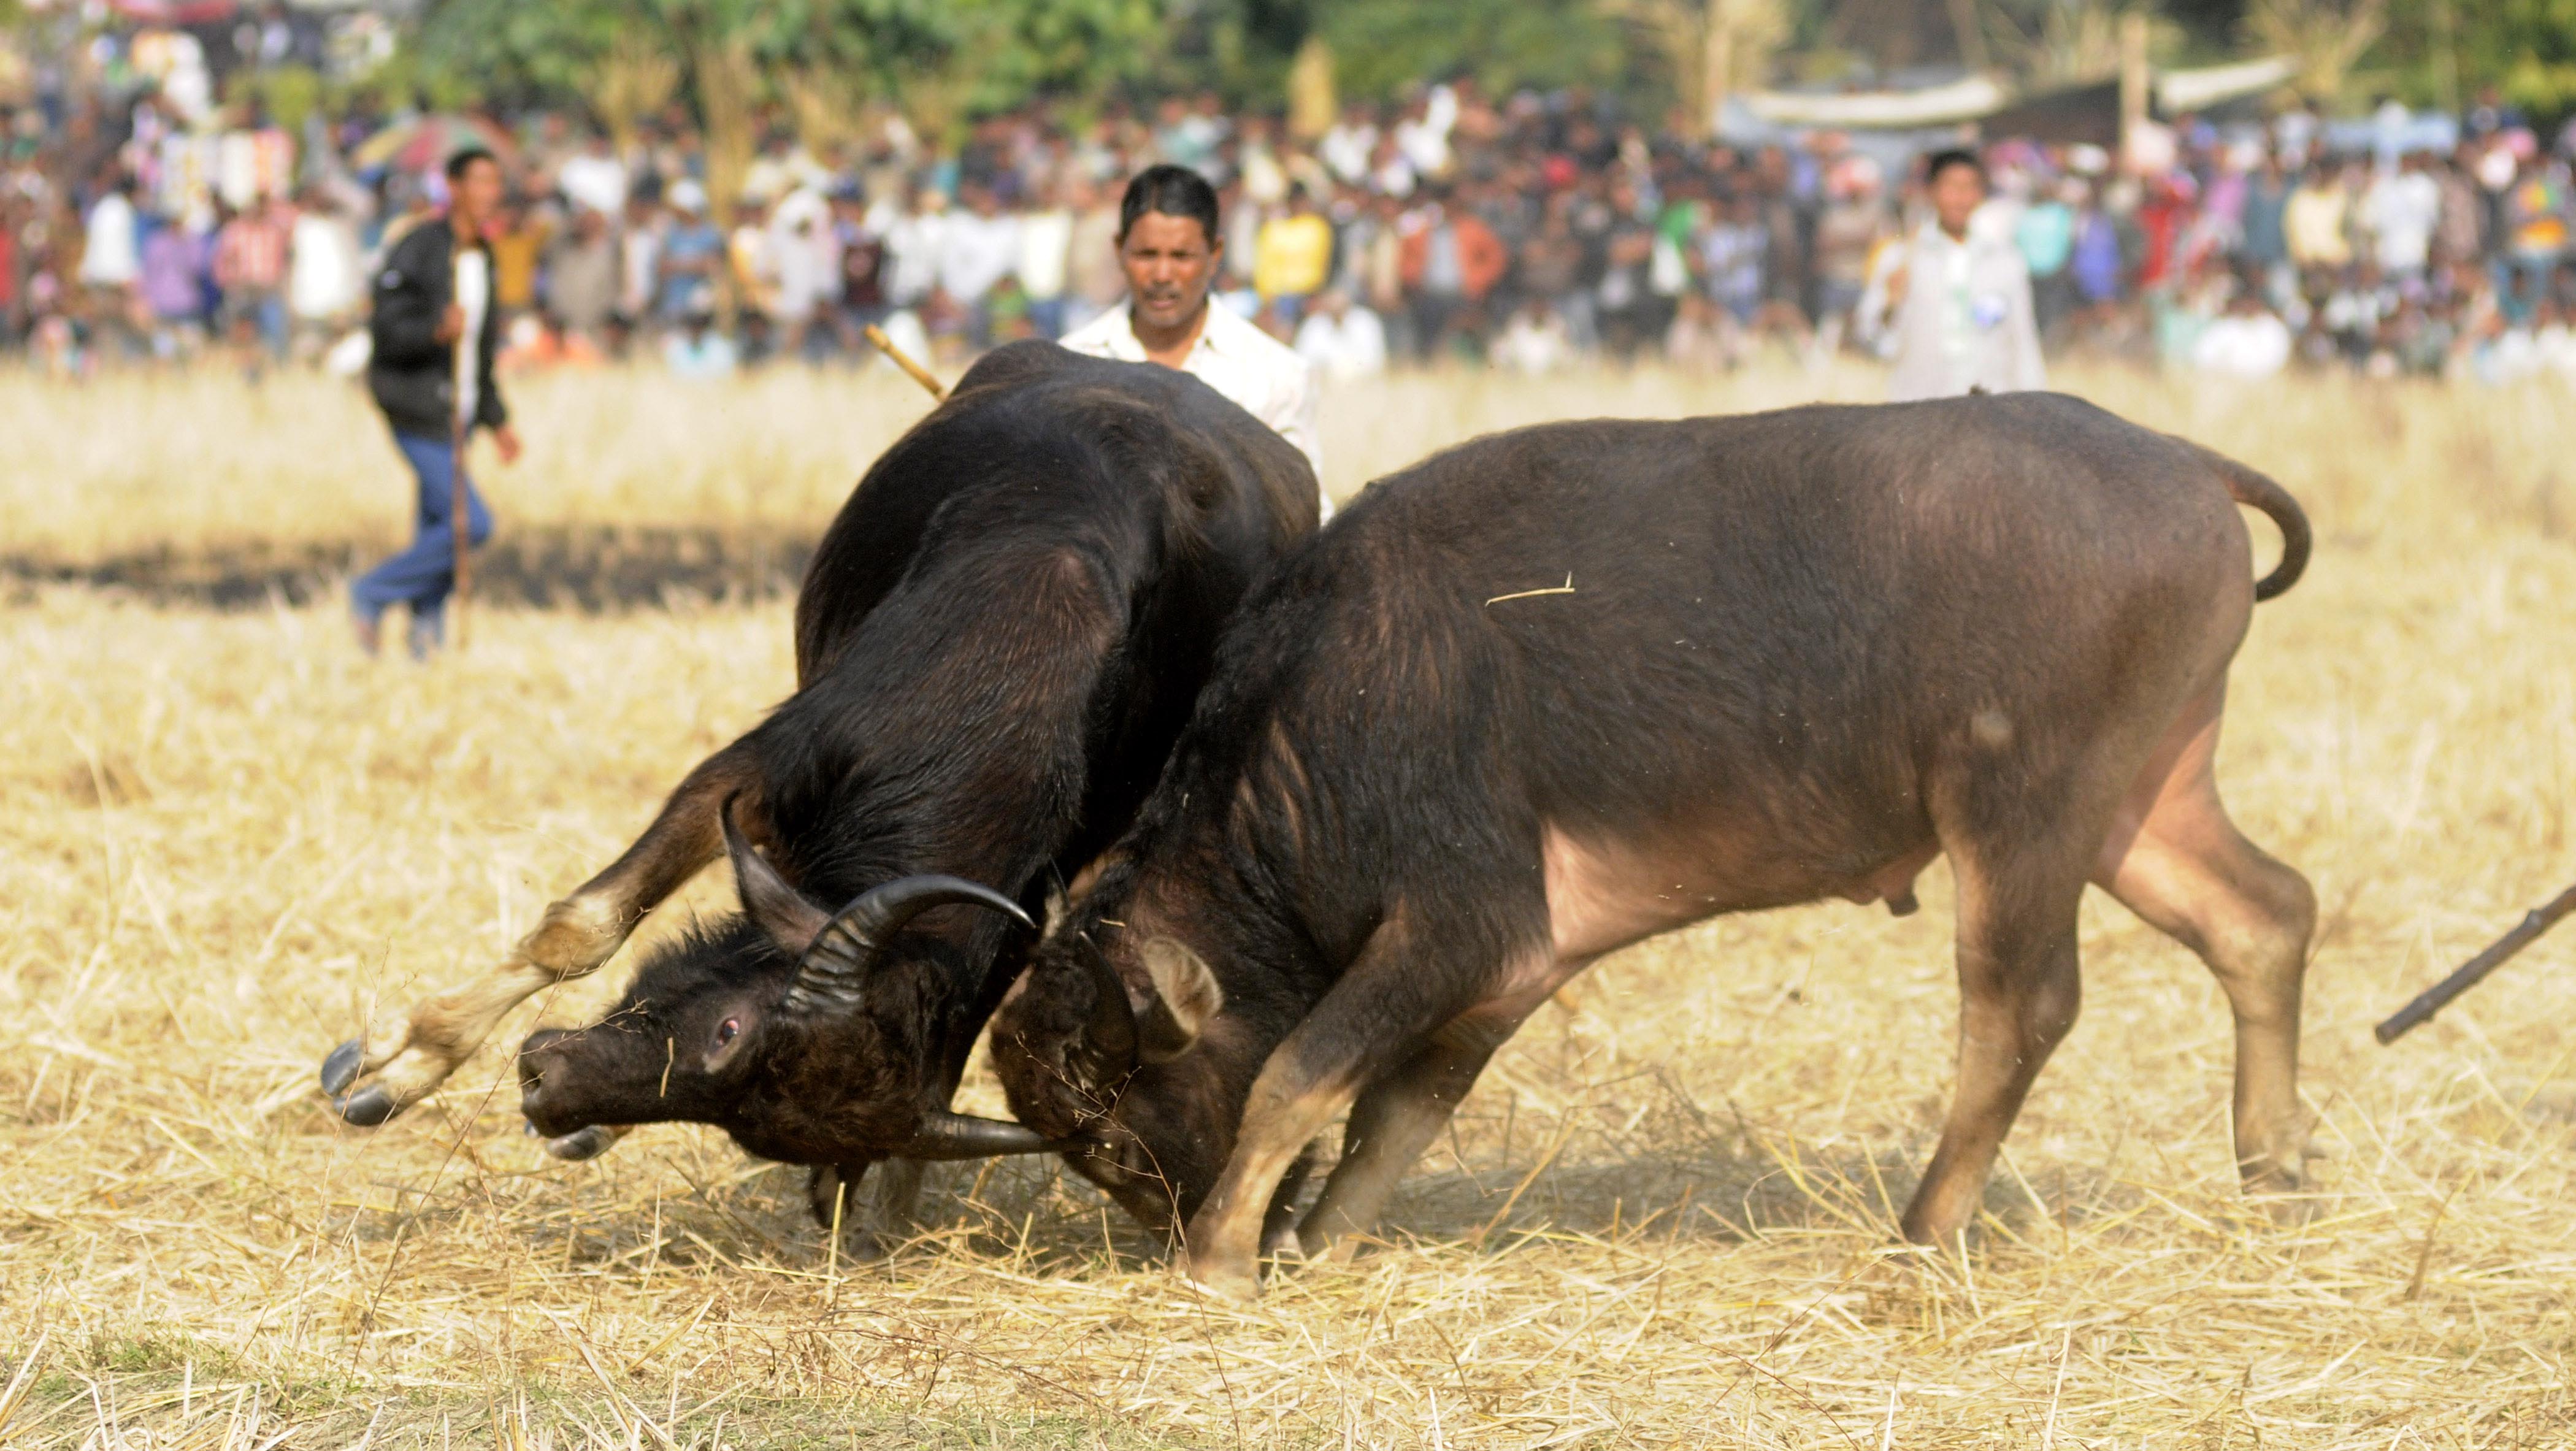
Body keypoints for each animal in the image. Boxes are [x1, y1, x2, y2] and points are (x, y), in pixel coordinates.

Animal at [978, 391, 2318, 1299]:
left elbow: (1299, 1073)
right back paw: (2274, 1174)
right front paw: (1316, 1243)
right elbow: (1395, 1111)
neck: (1322, 724)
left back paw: (1924, 1232)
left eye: (1107, 1130)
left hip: (2021, 807)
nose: (1168, 1223)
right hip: (2139, 803)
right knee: (2265, 915)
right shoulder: (1513, 967)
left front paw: (1225, 1260)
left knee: (2021, 1006)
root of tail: (2185, 464)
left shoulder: (1457, 925)